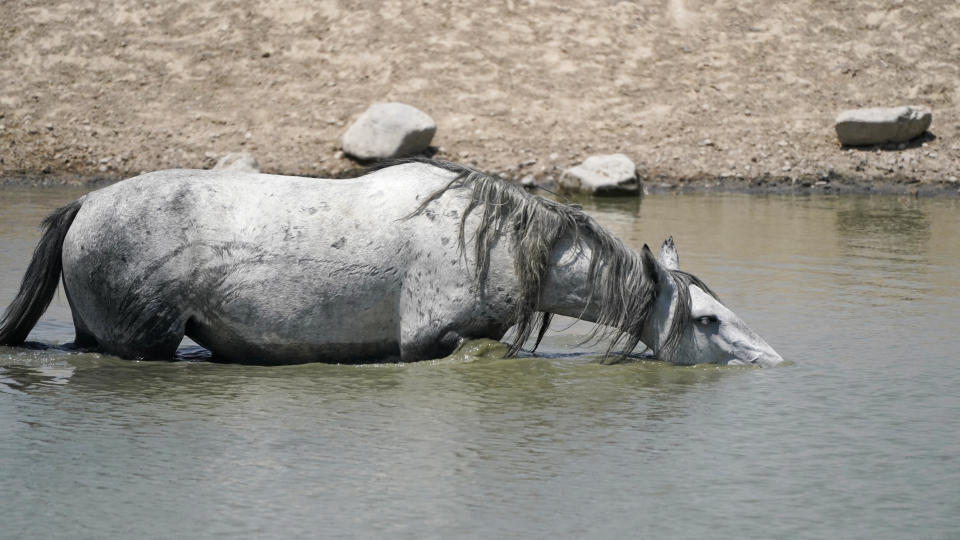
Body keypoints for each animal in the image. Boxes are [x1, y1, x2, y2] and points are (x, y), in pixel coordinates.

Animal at [0, 158, 780, 364]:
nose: (772, 360)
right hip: (141, 345)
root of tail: (85, 205)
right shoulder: (434, 342)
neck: (488, 240)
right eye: (707, 319)